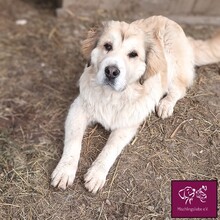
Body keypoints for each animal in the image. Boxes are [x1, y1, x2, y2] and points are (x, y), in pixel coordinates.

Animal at [50, 15, 220, 192]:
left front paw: (97, 174)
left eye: (133, 54)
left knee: (179, 89)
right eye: (107, 46)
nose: (111, 71)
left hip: (173, 66)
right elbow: (73, 142)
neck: (112, 96)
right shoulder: (78, 109)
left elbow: (110, 149)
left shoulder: (126, 125)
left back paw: (166, 104)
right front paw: (64, 170)